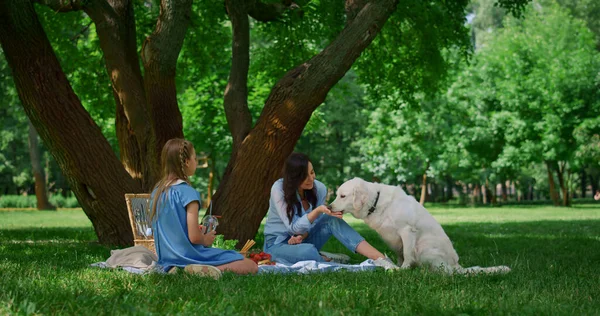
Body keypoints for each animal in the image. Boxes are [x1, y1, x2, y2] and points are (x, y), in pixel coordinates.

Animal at [328, 177, 510, 276]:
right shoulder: (397, 242)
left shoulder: (407, 231)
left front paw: (402, 270)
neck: (376, 202)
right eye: (337, 195)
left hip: (424, 247)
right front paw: (396, 266)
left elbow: (408, 255)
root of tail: (456, 266)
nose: (329, 206)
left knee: (443, 272)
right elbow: (401, 256)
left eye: (342, 196)